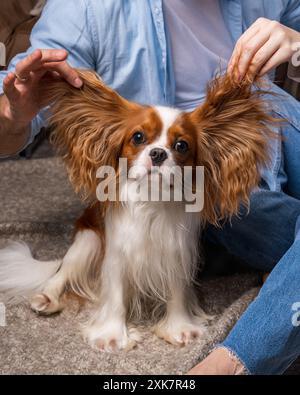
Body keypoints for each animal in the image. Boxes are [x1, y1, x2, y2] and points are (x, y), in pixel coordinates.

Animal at [0, 69, 274, 352]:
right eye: (138, 137)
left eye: (181, 146)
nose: (158, 153)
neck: (152, 198)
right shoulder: (117, 255)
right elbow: (116, 294)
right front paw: (112, 336)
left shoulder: (177, 252)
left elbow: (177, 290)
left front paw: (179, 328)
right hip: (87, 240)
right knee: (63, 272)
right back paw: (47, 297)